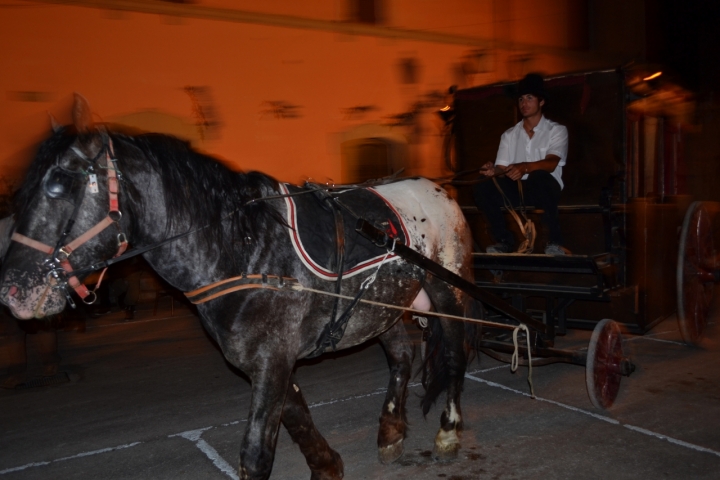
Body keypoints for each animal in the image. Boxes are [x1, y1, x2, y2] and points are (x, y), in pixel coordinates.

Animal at [2, 94, 480, 480]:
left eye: (58, 184)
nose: (13, 290)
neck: (244, 248)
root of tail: (437, 187)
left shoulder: (271, 358)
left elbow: (256, 454)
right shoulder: (270, 358)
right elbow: (296, 417)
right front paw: (327, 465)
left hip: (448, 290)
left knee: (454, 353)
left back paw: (448, 432)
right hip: (381, 308)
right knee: (401, 356)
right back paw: (390, 431)